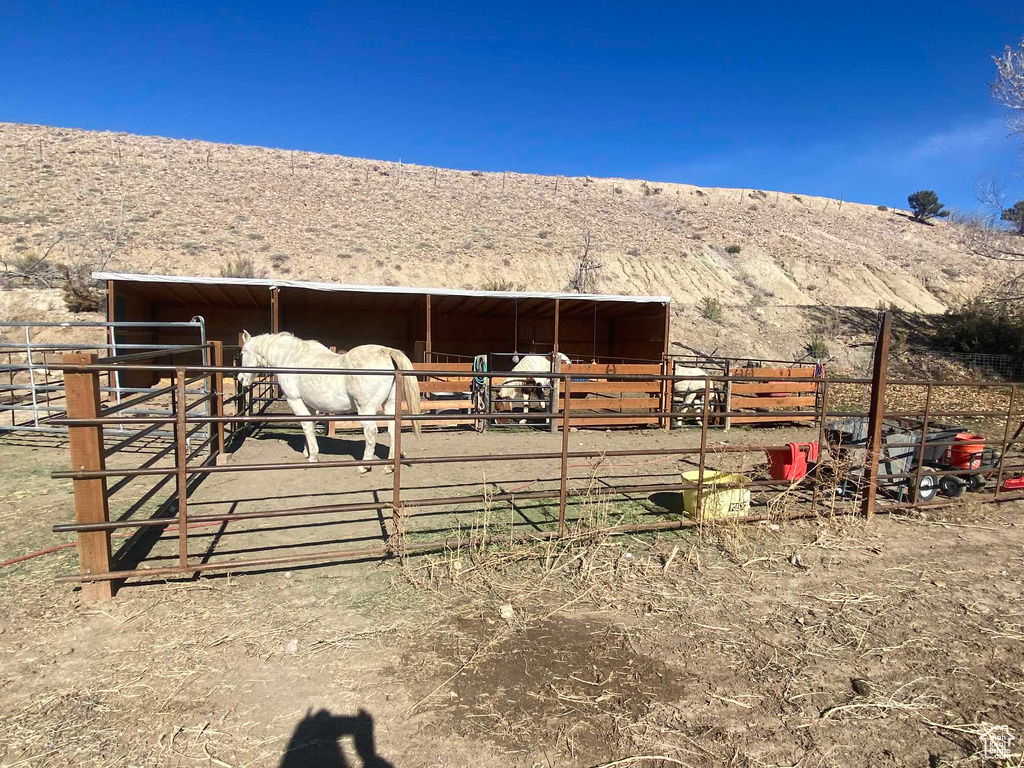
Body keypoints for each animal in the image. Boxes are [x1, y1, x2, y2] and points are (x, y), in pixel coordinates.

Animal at [236, 331, 419, 473]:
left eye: (243, 353)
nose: (241, 379)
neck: (291, 358)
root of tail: (386, 351)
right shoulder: (310, 405)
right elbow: (310, 426)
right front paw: (307, 452)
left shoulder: (295, 400)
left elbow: (306, 426)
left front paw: (313, 457)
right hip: (389, 406)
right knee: (393, 430)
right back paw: (389, 466)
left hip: (366, 409)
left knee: (371, 432)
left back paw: (364, 466)